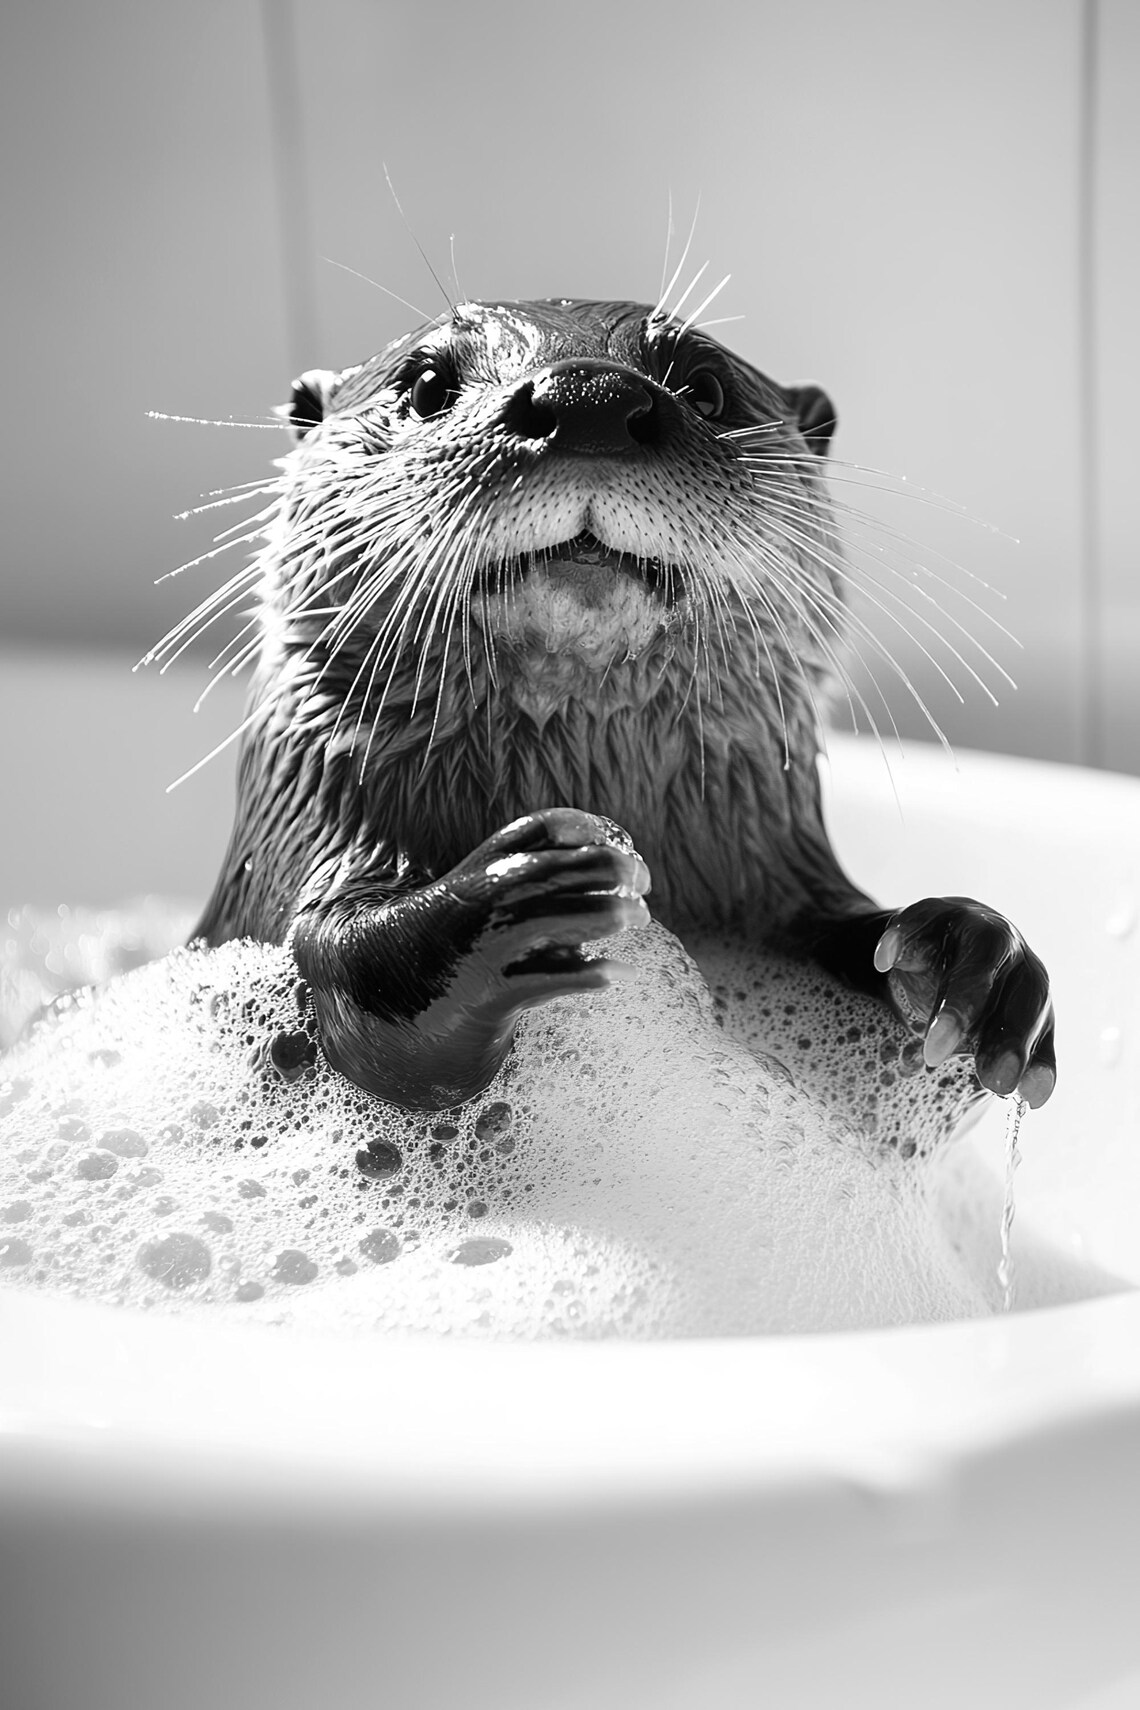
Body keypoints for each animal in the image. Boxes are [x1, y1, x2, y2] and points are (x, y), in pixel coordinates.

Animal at [194, 297, 1055, 1118]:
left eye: (705, 387)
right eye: (429, 384)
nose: (589, 397)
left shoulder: (778, 864)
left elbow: (837, 923)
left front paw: (971, 957)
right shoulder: (309, 805)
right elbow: (344, 967)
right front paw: (523, 888)